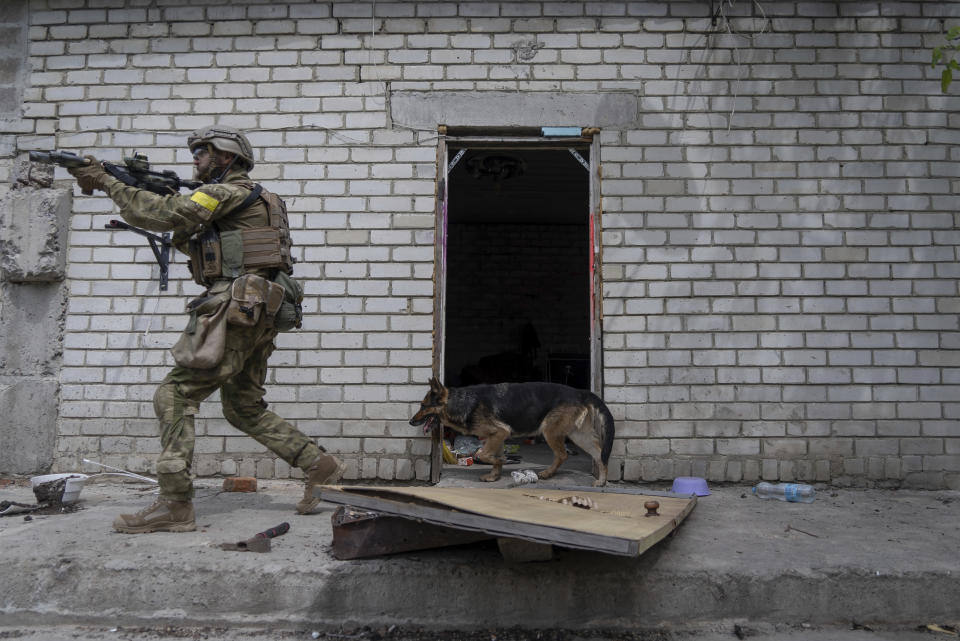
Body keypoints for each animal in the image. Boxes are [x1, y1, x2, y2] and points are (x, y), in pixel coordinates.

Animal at [408, 376, 612, 484]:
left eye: (423, 405)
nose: (410, 421)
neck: (460, 402)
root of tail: (579, 392)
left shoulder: (500, 433)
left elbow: (482, 454)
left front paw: (501, 461)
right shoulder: (497, 436)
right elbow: (491, 457)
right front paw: (494, 475)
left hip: (549, 431)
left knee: (563, 454)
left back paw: (548, 473)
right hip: (578, 435)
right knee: (599, 453)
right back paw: (602, 480)